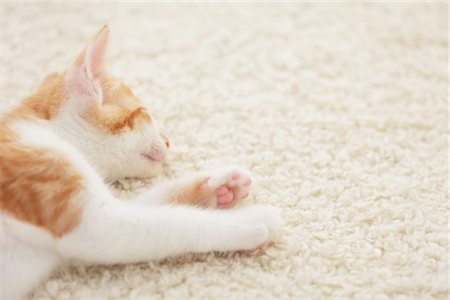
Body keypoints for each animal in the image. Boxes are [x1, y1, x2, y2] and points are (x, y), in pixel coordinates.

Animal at [0, 26, 282, 300]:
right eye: (145, 112)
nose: (168, 141)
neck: (50, 132)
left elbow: (156, 206)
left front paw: (217, 188)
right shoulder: (88, 219)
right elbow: (179, 222)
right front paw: (248, 220)